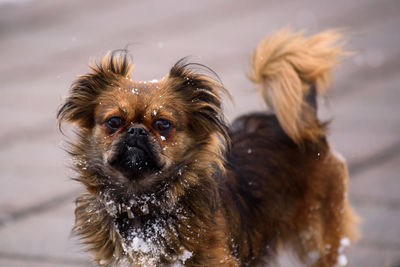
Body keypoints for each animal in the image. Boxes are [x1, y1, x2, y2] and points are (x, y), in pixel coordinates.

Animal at [57, 29, 360, 267]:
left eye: (163, 124)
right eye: (114, 121)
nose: (136, 130)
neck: (143, 203)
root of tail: (305, 122)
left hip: (317, 237)